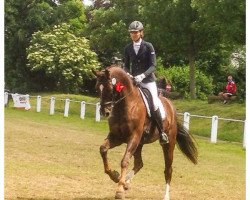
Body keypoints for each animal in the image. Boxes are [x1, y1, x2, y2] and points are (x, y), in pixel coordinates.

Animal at [92, 65, 197, 199]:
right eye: (97, 88)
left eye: (110, 89)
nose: (104, 112)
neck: (126, 105)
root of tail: (171, 106)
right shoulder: (117, 137)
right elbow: (103, 149)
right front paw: (115, 176)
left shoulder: (133, 137)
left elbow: (125, 161)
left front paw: (119, 190)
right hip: (140, 144)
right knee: (139, 163)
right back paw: (126, 182)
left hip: (168, 143)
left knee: (168, 169)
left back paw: (165, 195)